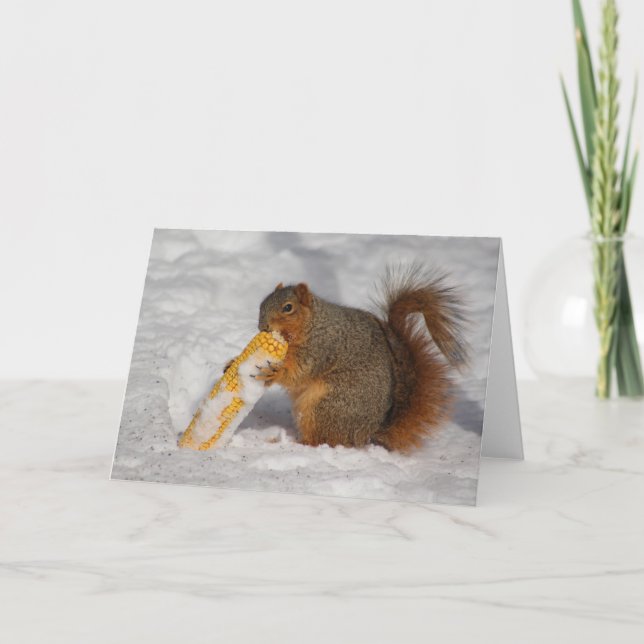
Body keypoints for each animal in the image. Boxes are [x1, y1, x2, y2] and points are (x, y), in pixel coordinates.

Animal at [238, 265, 468, 453]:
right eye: (262, 303)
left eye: (288, 308)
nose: (263, 327)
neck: (313, 324)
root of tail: (368, 433)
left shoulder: (322, 348)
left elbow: (299, 373)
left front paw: (275, 373)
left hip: (326, 406)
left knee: (323, 440)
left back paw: (295, 444)